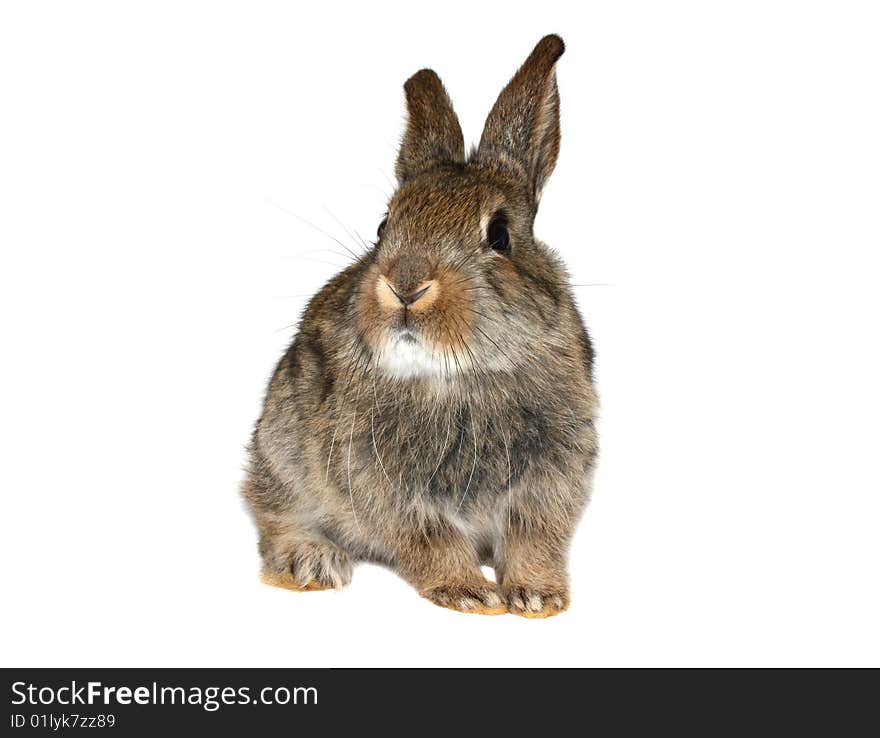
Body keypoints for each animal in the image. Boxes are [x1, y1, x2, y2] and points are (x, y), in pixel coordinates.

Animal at [242, 36, 600, 620]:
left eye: (499, 235)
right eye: (385, 225)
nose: (405, 286)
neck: (459, 375)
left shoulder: (551, 479)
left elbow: (533, 537)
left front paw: (537, 597)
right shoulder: (385, 487)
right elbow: (432, 538)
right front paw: (471, 593)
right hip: (283, 449)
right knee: (272, 514)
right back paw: (312, 563)